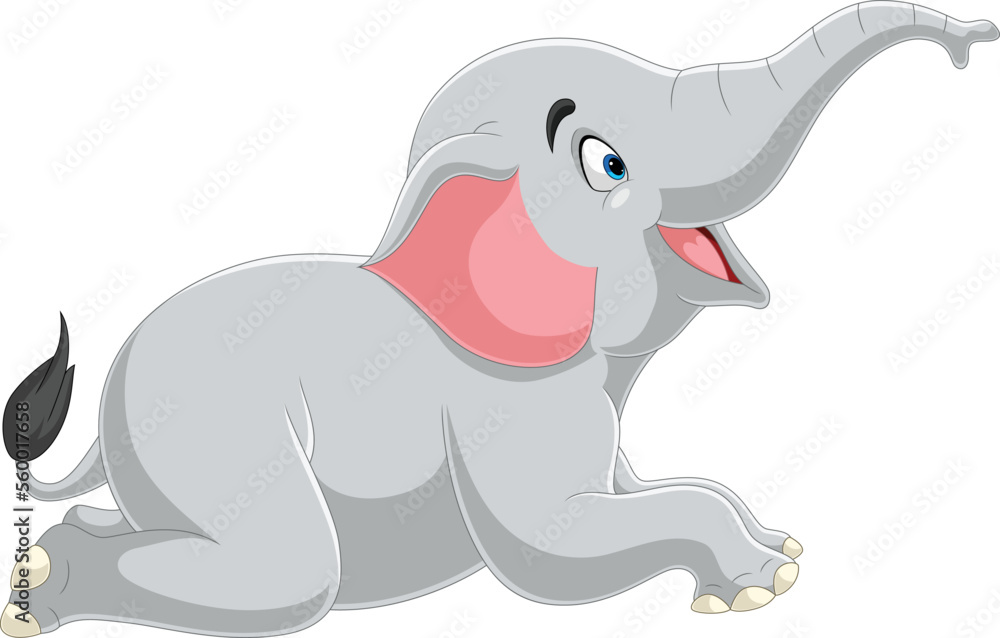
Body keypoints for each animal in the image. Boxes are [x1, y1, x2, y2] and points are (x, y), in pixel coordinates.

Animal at [3, 3, 996, 635]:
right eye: (606, 164)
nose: (971, 43)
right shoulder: (506, 406)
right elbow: (549, 551)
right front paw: (765, 588)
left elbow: (639, 487)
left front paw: (774, 552)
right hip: (214, 432)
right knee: (294, 577)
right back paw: (50, 578)